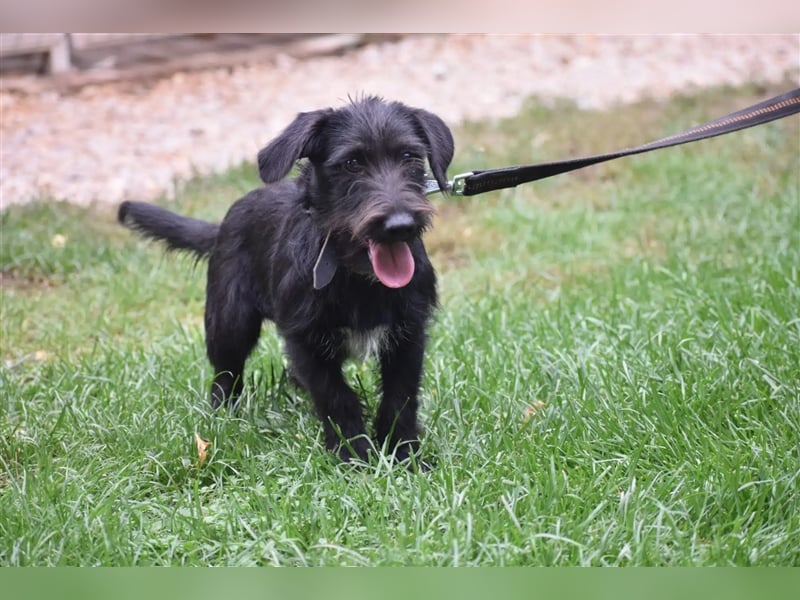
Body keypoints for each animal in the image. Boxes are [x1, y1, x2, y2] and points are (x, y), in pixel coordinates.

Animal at [119, 97, 456, 464]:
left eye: (410, 157)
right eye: (352, 164)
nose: (400, 225)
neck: (356, 277)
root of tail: (222, 225)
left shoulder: (408, 334)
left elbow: (401, 396)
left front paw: (403, 454)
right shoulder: (305, 338)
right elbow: (336, 396)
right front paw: (354, 455)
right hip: (229, 322)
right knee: (226, 373)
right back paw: (222, 417)